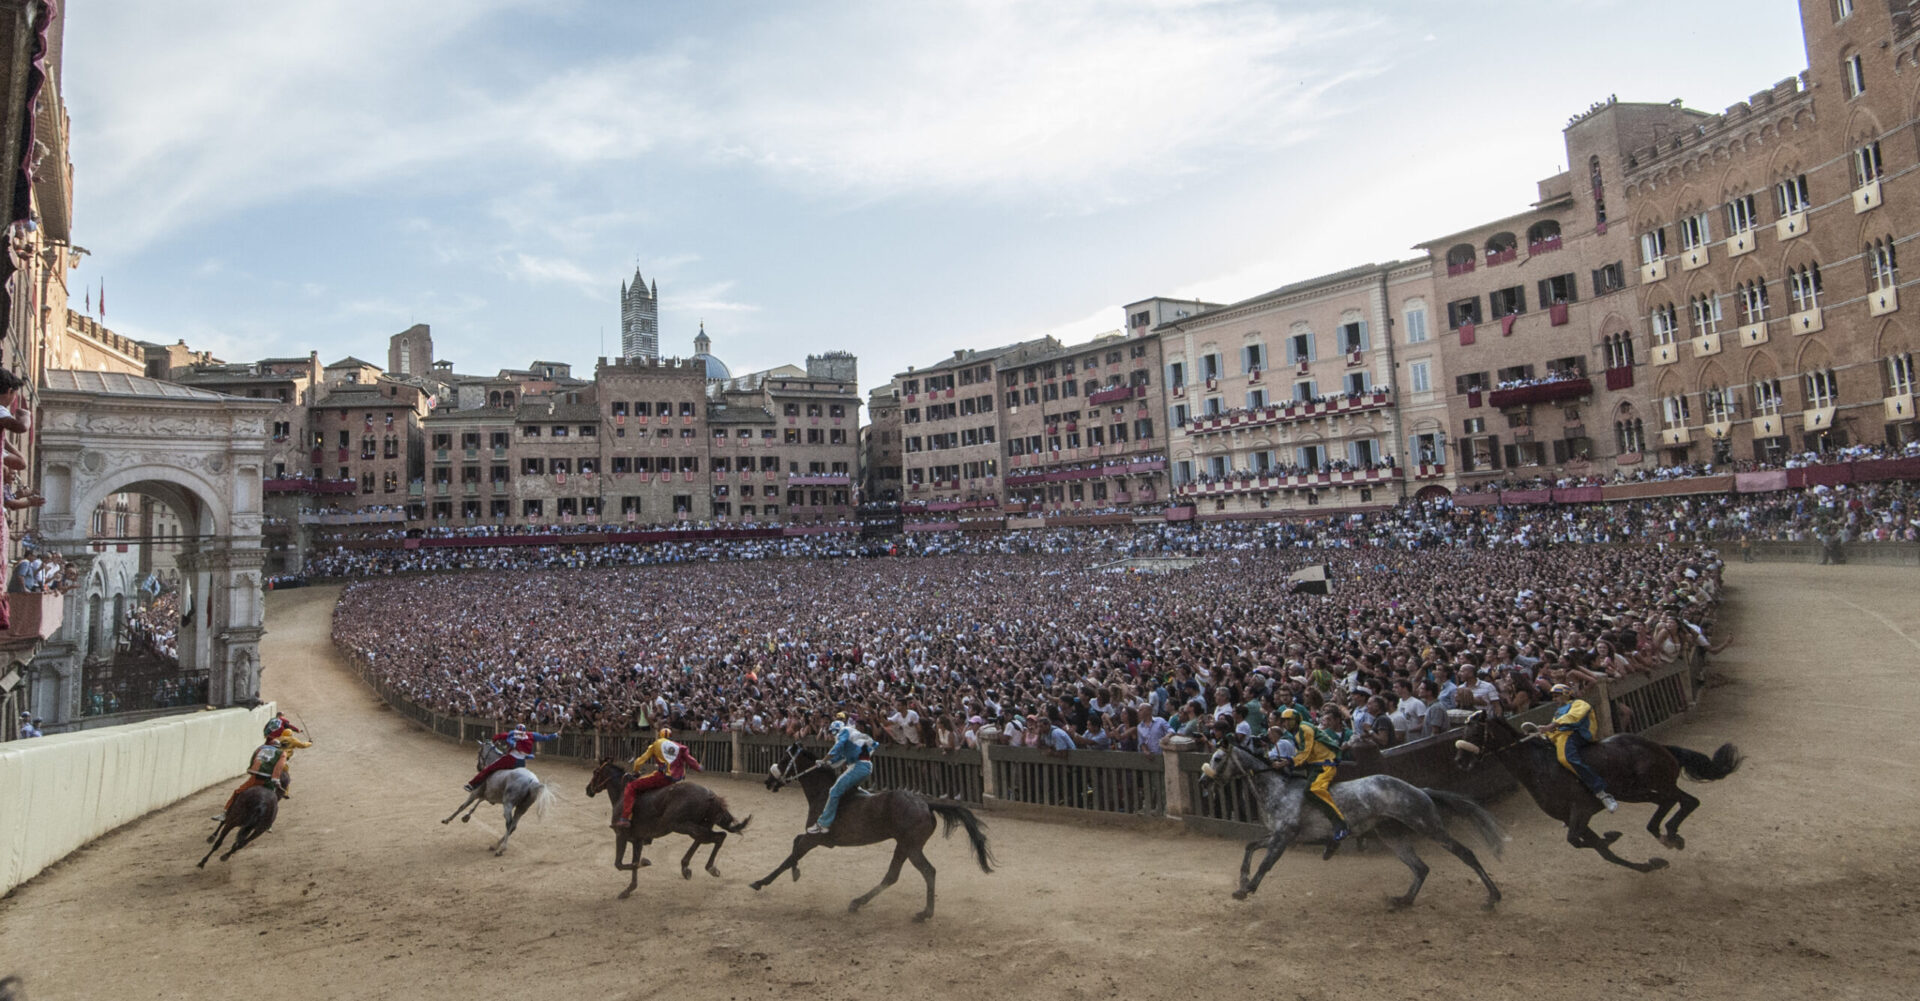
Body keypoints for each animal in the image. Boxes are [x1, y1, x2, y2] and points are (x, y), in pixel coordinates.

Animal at [587, 756, 752, 899]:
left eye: (595, 772)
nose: (588, 789)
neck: (622, 793)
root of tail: (711, 795)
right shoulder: (637, 840)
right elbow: (632, 864)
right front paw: (629, 889)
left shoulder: (621, 835)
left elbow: (620, 864)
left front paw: (644, 862)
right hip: (697, 825)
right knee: (709, 837)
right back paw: (689, 867)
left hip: (681, 825)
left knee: (716, 836)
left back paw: (704, 867)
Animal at [741, 741, 998, 922]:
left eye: (784, 759)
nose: (768, 781)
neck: (822, 793)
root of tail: (926, 803)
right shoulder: (814, 838)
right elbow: (794, 845)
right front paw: (795, 872)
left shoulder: (817, 838)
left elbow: (789, 856)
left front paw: (760, 882)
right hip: (907, 845)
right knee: (906, 874)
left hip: (909, 845)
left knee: (917, 872)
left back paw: (909, 911)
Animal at [1190, 741, 1505, 906]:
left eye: (1218, 758)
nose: (1203, 780)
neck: (1276, 788)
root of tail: (1419, 790)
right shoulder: (1277, 835)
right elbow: (1249, 846)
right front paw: (1242, 882)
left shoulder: (1285, 836)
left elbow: (1266, 863)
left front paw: (1247, 889)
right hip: (1391, 834)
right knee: (1420, 868)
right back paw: (1403, 900)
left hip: (1426, 824)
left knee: (1465, 854)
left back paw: (1493, 896)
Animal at [1451, 710, 1743, 864]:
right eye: (1461, 732)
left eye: (1474, 733)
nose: (1459, 760)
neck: (1537, 766)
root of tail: (1662, 748)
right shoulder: (1572, 817)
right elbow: (1583, 842)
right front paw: (1610, 838)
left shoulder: (1581, 810)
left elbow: (1576, 840)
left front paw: (1611, 836)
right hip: (1635, 791)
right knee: (1674, 803)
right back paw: (1667, 834)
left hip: (1653, 785)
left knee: (1687, 801)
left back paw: (1669, 833)